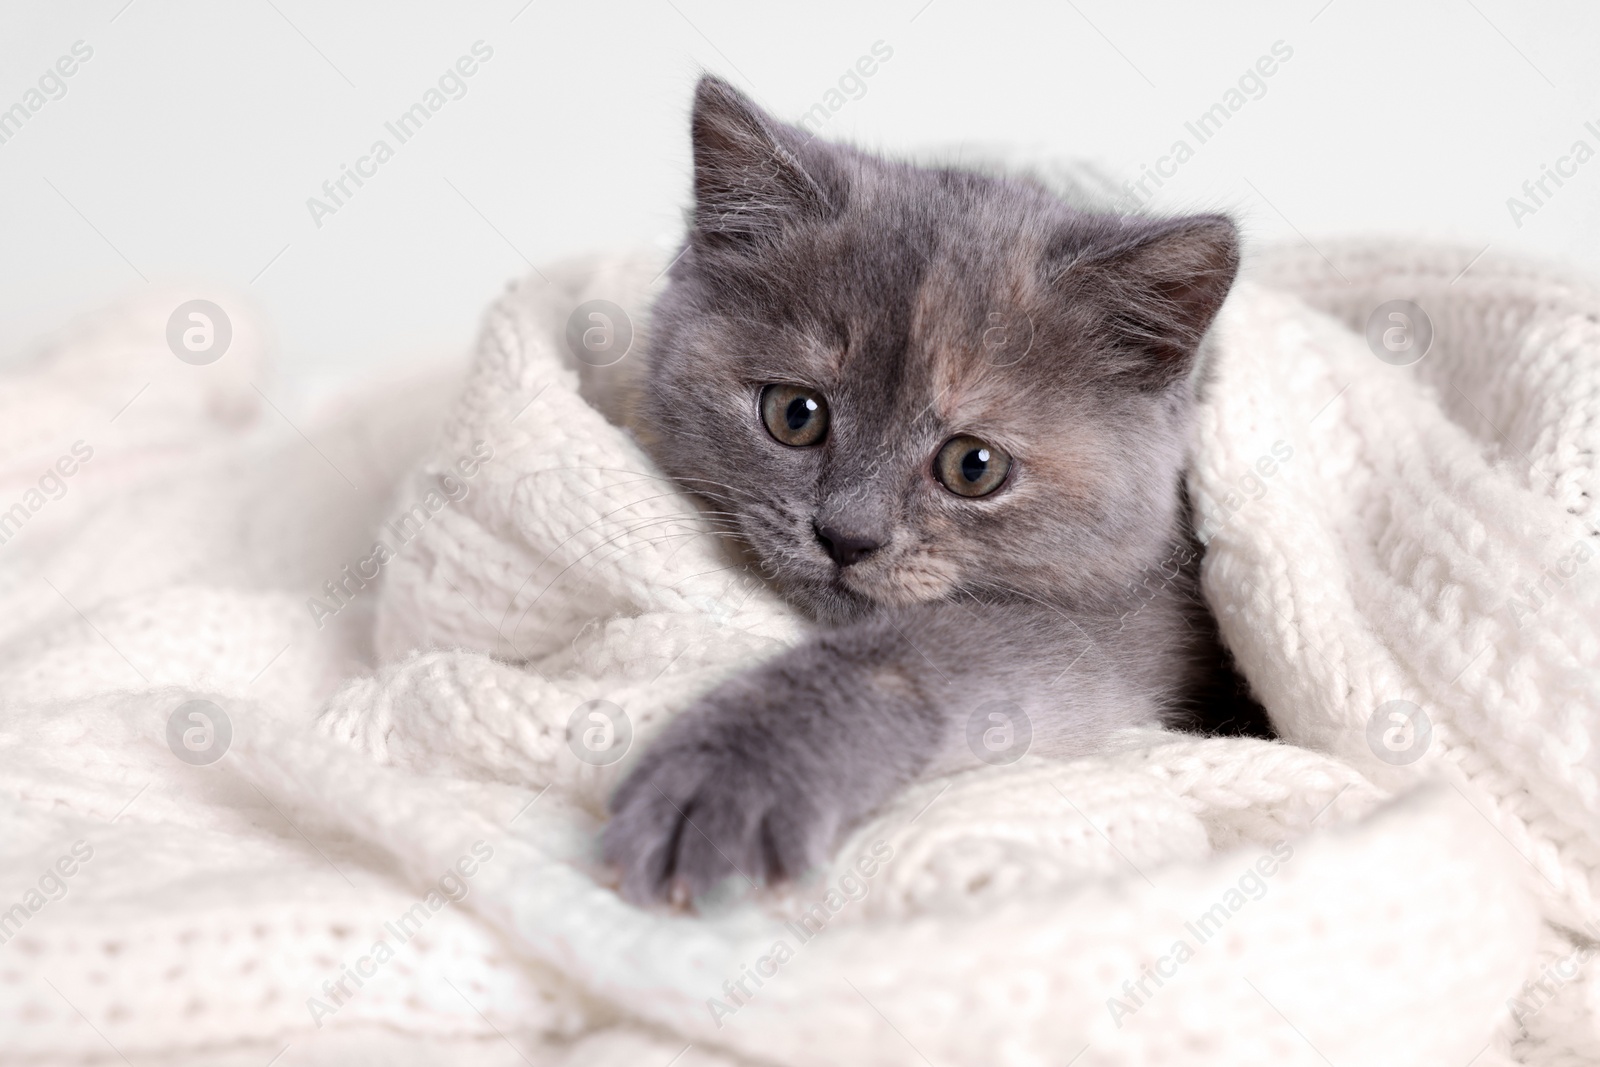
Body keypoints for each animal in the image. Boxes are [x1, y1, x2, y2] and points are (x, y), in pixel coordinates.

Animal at [601, 75, 1260, 908]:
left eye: (974, 467)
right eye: (793, 413)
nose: (846, 535)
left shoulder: (1125, 627)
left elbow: (922, 652)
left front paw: (727, 775)